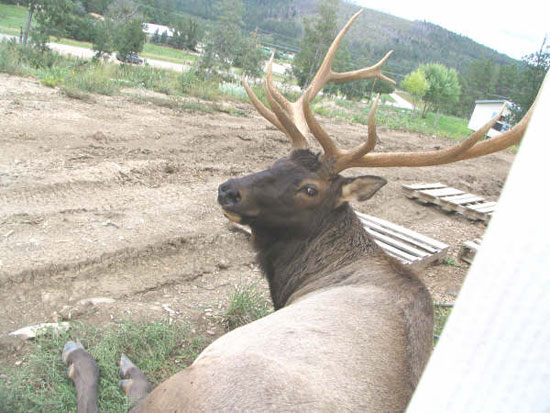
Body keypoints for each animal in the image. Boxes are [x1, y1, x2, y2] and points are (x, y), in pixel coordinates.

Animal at [61, 9, 536, 412]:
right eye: (277, 160)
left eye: (310, 188)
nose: (228, 191)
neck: (298, 278)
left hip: (198, 377)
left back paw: (90, 359)